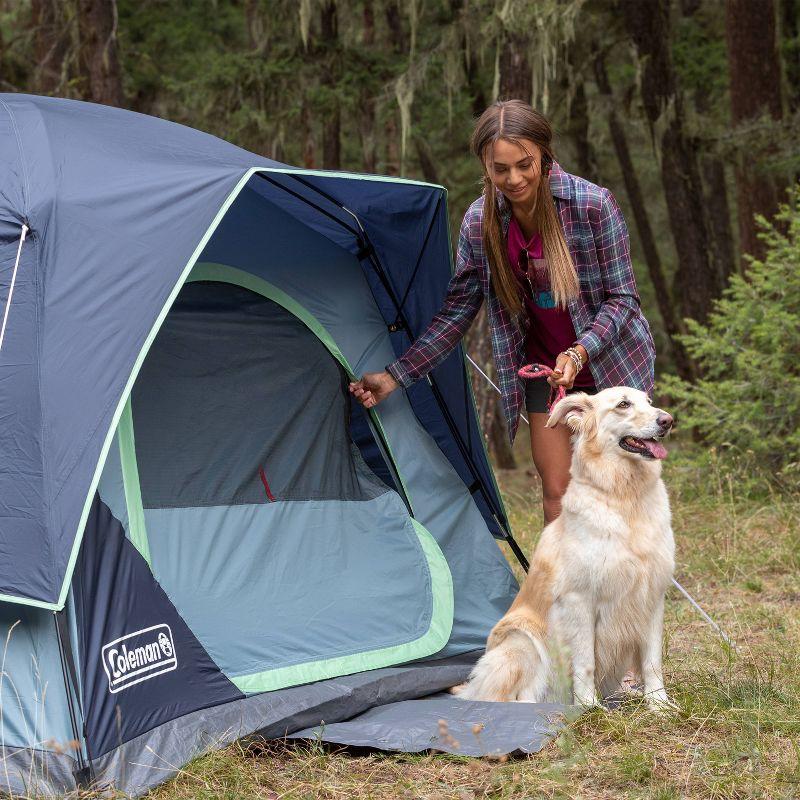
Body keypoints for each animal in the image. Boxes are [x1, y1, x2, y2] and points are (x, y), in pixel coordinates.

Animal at [454, 390, 672, 712]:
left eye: (648, 400)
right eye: (623, 404)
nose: (667, 420)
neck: (623, 496)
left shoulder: (652, 596)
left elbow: (652, 661)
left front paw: (659, 704)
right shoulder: (579, 600)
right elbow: (586, 662)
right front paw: (589, 706)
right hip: (522, 643)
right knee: (511, 697)